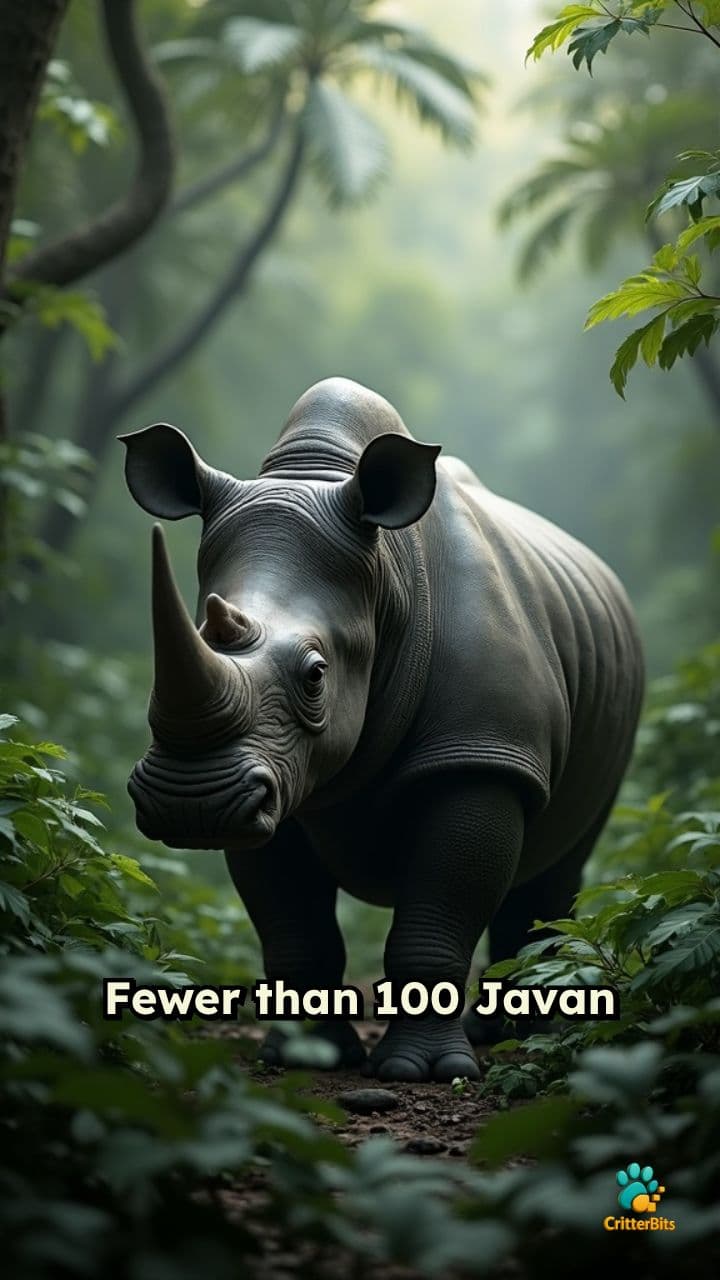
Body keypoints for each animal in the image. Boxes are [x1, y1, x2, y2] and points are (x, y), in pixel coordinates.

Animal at [120, 377, 644, 1082]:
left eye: (316, 675)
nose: (190, 803)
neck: (387, 579)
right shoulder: (267, 782)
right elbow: (295, 931)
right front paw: (305, 1058)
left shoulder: (481, 754)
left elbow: (437, 920)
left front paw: (422, 1071)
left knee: (560, 860)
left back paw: (521, 1035)